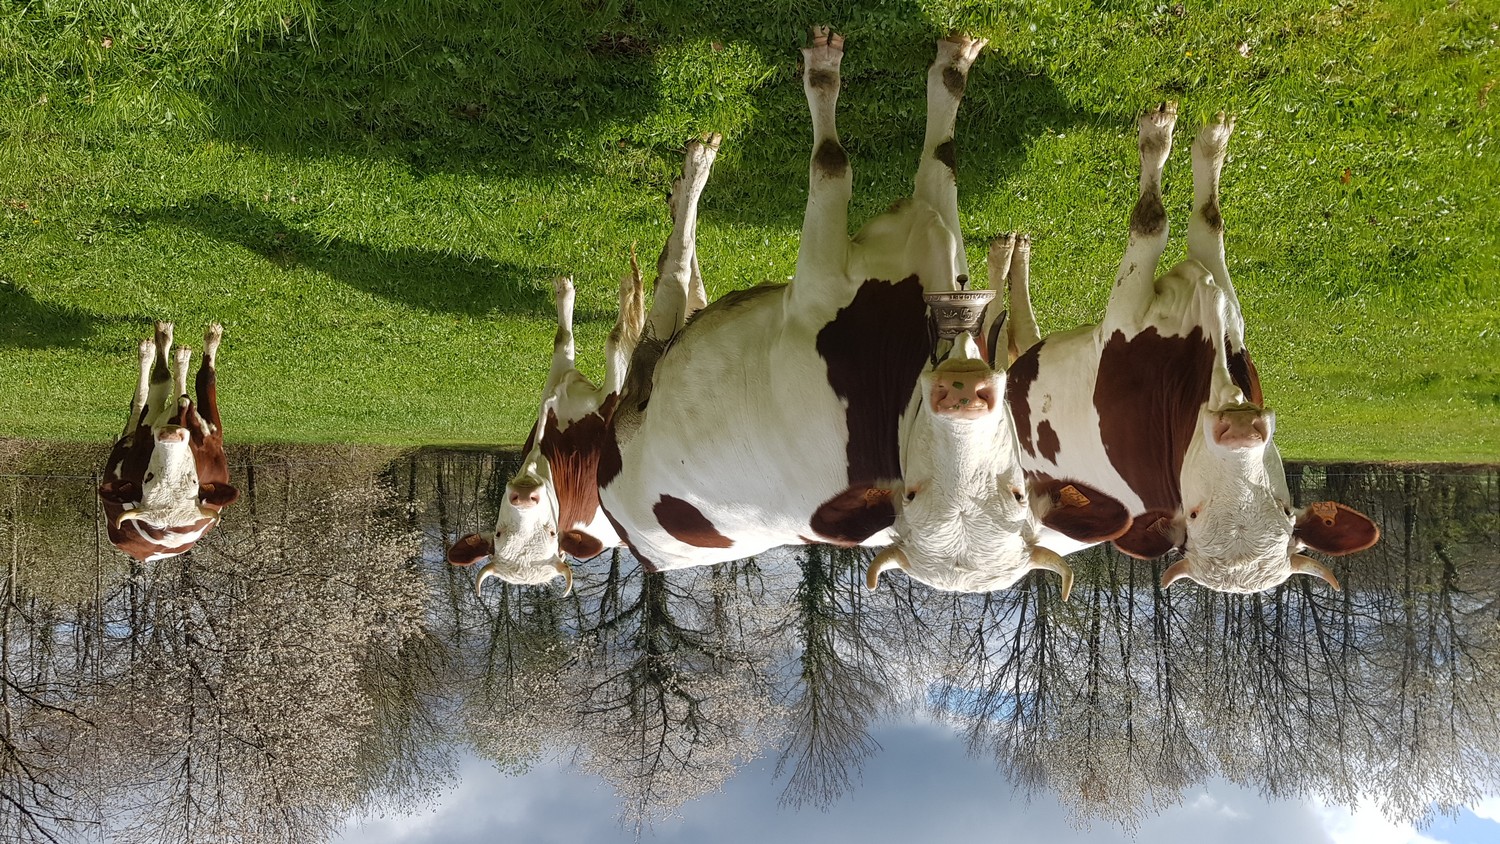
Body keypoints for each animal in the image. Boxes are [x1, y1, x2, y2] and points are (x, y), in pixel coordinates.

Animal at [99, 322, 237, 561]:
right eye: (148, 477)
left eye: (194, 480)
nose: (170, 437)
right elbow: (174, 378)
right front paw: (166, 338)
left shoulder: (213, 435)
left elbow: (200, 379)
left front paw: (208, 338)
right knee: (144, 402)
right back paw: (154, 351)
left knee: (163, 398)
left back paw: (176, 356)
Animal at [447, 136, 720, 593]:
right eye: (500, 534)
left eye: (549, 533)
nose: (523, 495)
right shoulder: (579, 386)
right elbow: (583, 339)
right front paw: (598, 296)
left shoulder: (584, 388)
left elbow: (595, 338)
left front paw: (599, 293)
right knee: (685, 279)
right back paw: (692, 174)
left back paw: (689, 176)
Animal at [595, 28, 1131, 596]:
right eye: (913, 493)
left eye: (1016, 492)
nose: (962, 396)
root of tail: (635, 544)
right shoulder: (877, 254)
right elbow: (893, 155)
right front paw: (893, 61)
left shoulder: (877, 259)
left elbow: (887, 160)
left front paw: (893, 64)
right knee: (677, 288)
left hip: (657, 378)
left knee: (675, 293)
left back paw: (691, 178)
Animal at [1002, 104, 1379, 594]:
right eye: (1195, 513)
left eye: (1283, 508)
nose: (1239, 432)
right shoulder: (1173, 305)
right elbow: (1180, 218)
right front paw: (1184, 136)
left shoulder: (1179, 306)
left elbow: (1179, 219)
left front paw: (1185, 139)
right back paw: (1009, 254)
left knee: (1019, 340)